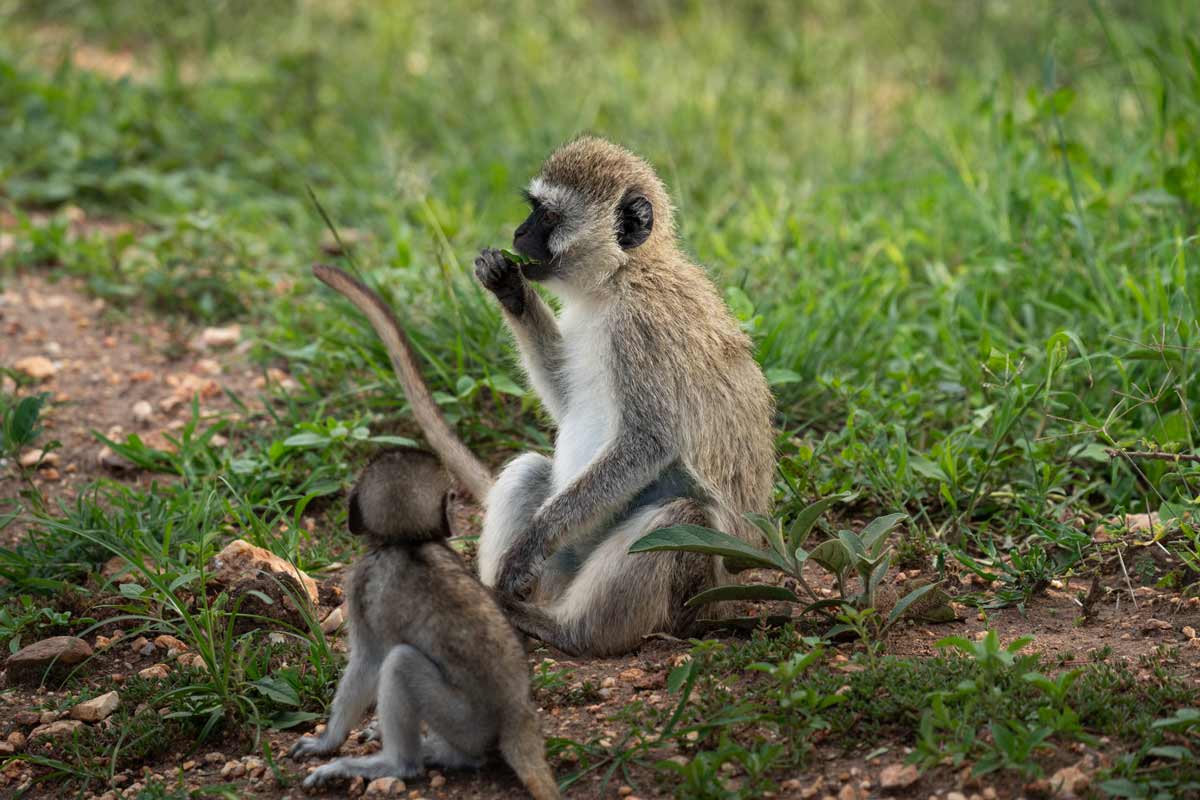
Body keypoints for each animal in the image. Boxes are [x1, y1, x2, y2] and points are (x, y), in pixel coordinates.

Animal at [288, 450, 559, 800]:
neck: (406, 542)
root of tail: (516, 714)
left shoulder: (361, 581)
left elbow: (368, 661)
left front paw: (327, 741)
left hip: (464, 721)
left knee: (400, 663)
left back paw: (398, 764)